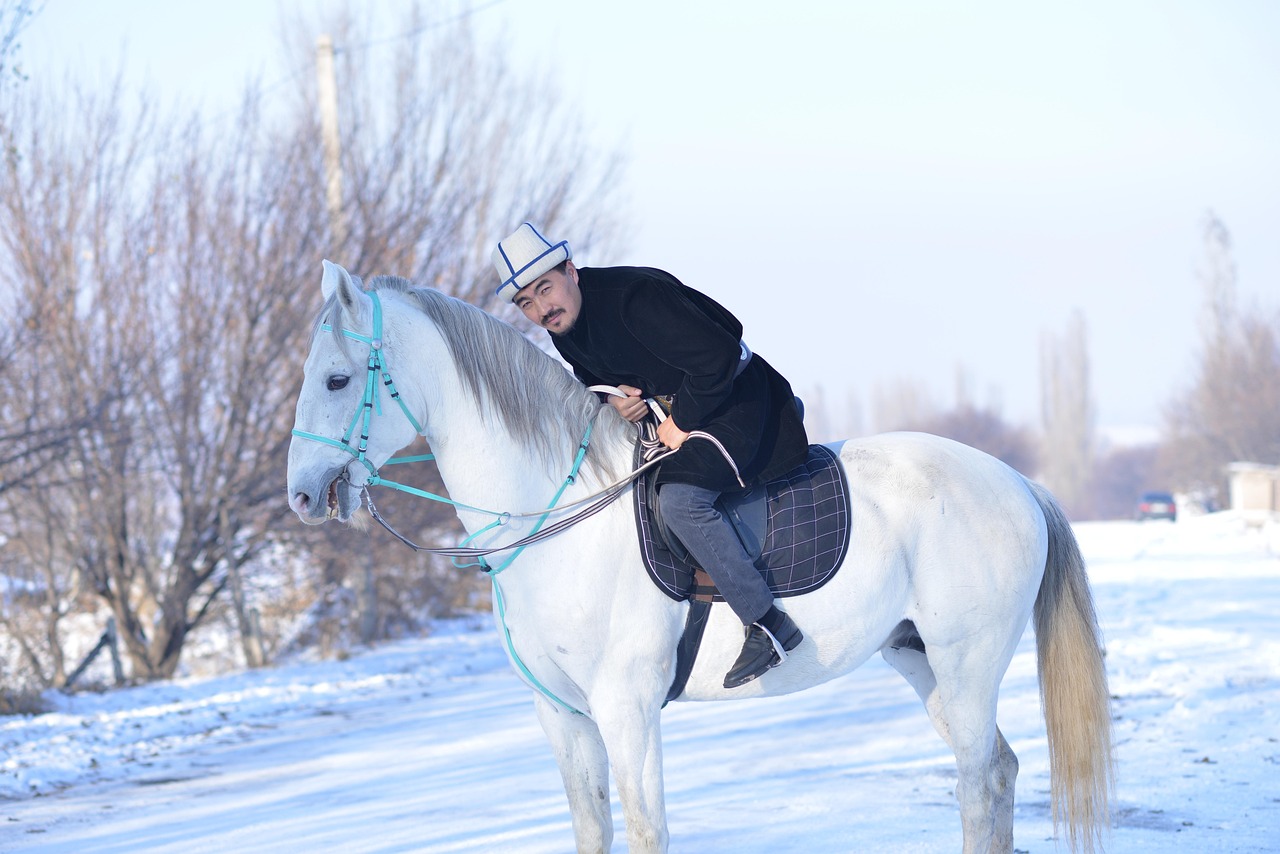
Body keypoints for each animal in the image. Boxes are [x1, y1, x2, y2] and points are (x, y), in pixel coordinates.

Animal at [286, 261, 1113, 854]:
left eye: (336, 379)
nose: (300, 495)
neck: (558, 516)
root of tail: (1017, 483)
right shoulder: (563, 714)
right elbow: (593, 829)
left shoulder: (625, 710)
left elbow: (647, 831)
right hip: (920, 660)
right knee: (996, 775)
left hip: (966, 663)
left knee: (977, 787)